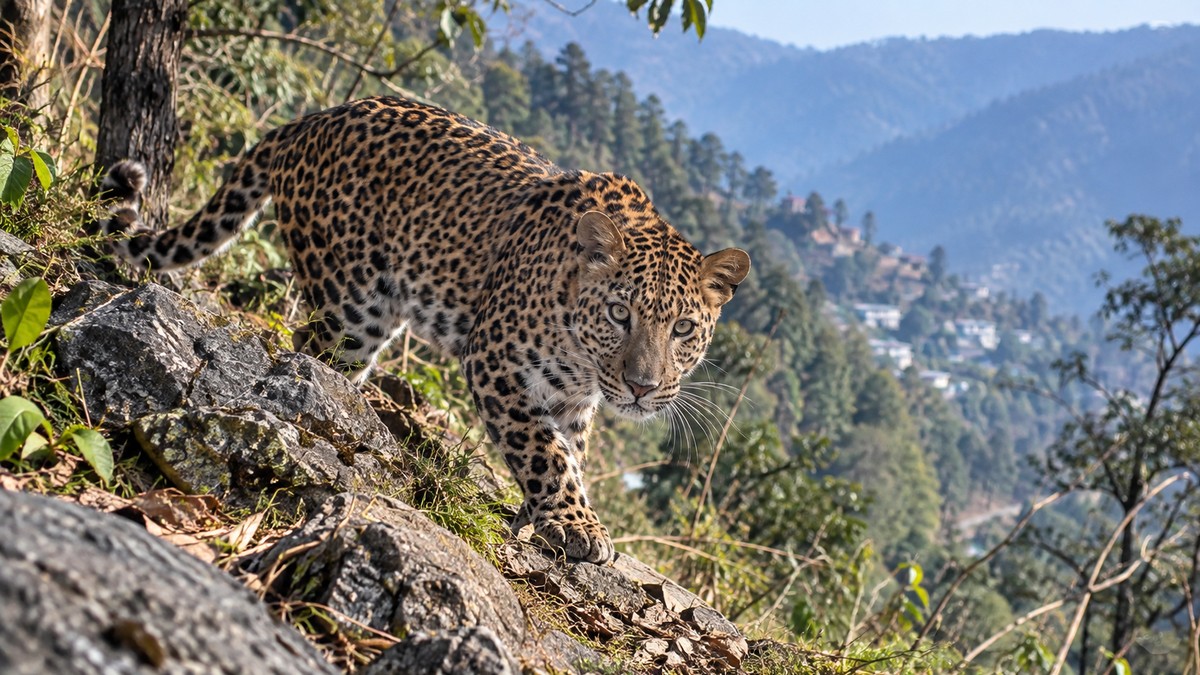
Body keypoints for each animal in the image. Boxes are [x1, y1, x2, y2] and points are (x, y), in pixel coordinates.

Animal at [98, 95, 751, 564]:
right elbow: (541, 449)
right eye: (621, 314)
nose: (643, 388)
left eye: (683, 328)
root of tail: (311, 119)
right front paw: (575, 523)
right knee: (309, 353)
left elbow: (569, 452)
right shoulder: (495, 360)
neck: (583, 357)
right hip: (351, 305)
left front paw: (543, 515)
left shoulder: (574, 400)